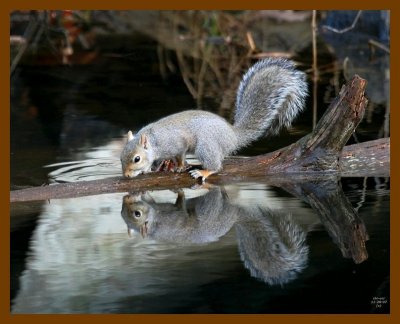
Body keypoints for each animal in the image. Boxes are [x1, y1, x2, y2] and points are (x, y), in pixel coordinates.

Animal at [120, 57, 308, 181]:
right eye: (121, 157)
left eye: (136, 158)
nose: (126, 175)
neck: (154, 140)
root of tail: (233, 136)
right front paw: (153, 168)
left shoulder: (177, 143)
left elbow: (180, 155)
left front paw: (178, 166)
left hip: (206, 146)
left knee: (217, 166)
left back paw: (204, 171)